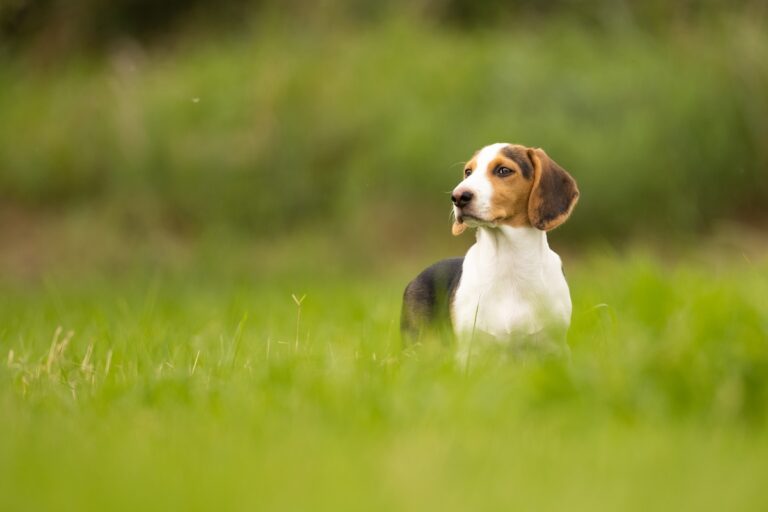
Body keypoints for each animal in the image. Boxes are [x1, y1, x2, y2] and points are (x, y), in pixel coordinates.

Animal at [402, 142, 576, 360]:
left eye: (503, 170)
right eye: (468, 172)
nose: (457, 197)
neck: (507, 258)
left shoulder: (553, 347)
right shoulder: (469, 351)